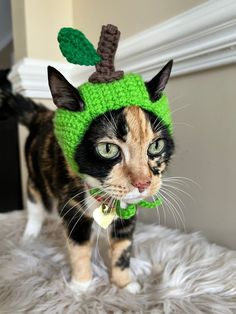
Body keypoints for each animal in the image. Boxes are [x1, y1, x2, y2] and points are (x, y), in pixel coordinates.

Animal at [0, 60, 174, 294]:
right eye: (107, 149)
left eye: (156, 145)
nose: (143, 183)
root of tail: (43, 114)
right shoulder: (71, 207)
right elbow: (79, 247)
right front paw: (81, 286)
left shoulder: (126, 213)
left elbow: (123, 248)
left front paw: (124, 283)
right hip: (34, 173)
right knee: (35, 200)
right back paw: (30, 233)